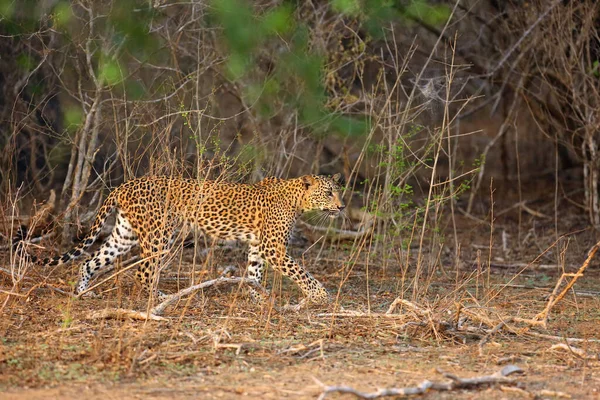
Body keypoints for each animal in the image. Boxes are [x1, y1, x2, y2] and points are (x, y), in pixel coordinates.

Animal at [30, 174, 344, 304]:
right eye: (329, 192)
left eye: (337, 192)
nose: (341, 207)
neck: (298, 200)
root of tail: (124, 185)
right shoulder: (273, 247)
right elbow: (301, 272)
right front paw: (320, 295)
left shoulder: (259, 246)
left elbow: (254, 272)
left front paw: (257, 297)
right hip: (159, 235)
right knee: (143, 272)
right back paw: (162, 297)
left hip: (124, 234)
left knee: (90, 262)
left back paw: (82, 293)